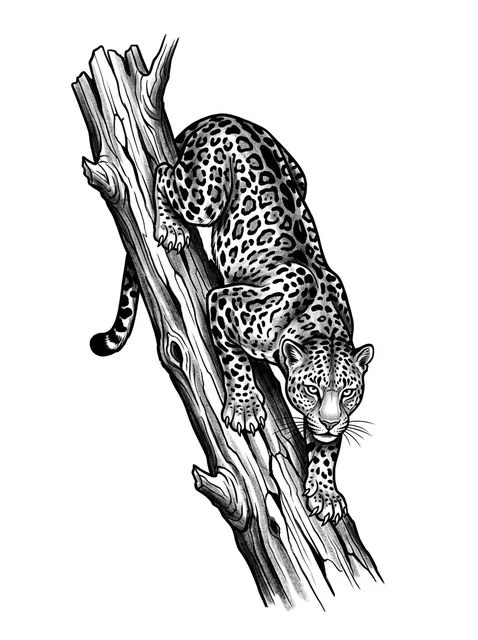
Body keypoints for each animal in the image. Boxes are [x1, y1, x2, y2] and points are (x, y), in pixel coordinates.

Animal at [91, 114, 374, 525]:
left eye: (350, 392)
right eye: (310, 390)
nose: (331, 421)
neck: (319, 325)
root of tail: (219, 117)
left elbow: (328, 448)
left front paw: (326, 490)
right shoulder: (223, 300)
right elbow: (234, 359)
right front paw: (244, 407)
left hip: (299, 176)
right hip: (204, 197)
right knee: (163, 174)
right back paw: (171, 227)